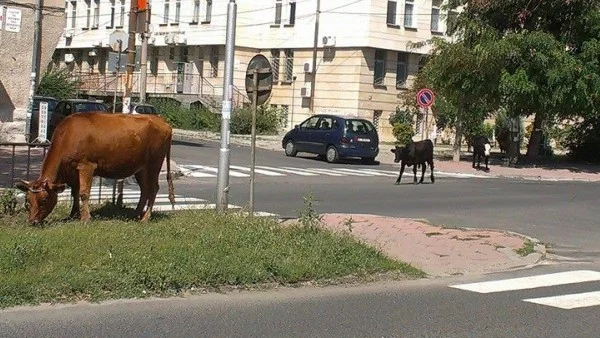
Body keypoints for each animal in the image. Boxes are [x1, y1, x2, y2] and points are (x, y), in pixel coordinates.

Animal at [15, 113, 176, 224]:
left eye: (44, 200)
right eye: (28, 200)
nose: (32, 221)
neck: (68, 135)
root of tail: (163, 122)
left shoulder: (86, 166)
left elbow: (84, 193)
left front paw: (85, 218)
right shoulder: (73, 171)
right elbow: (75, 192)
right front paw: (73, 214)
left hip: (154, 163)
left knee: (153, 188)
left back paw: (145, 218)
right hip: (141, 168)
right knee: (145, 189)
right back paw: (135, 214)